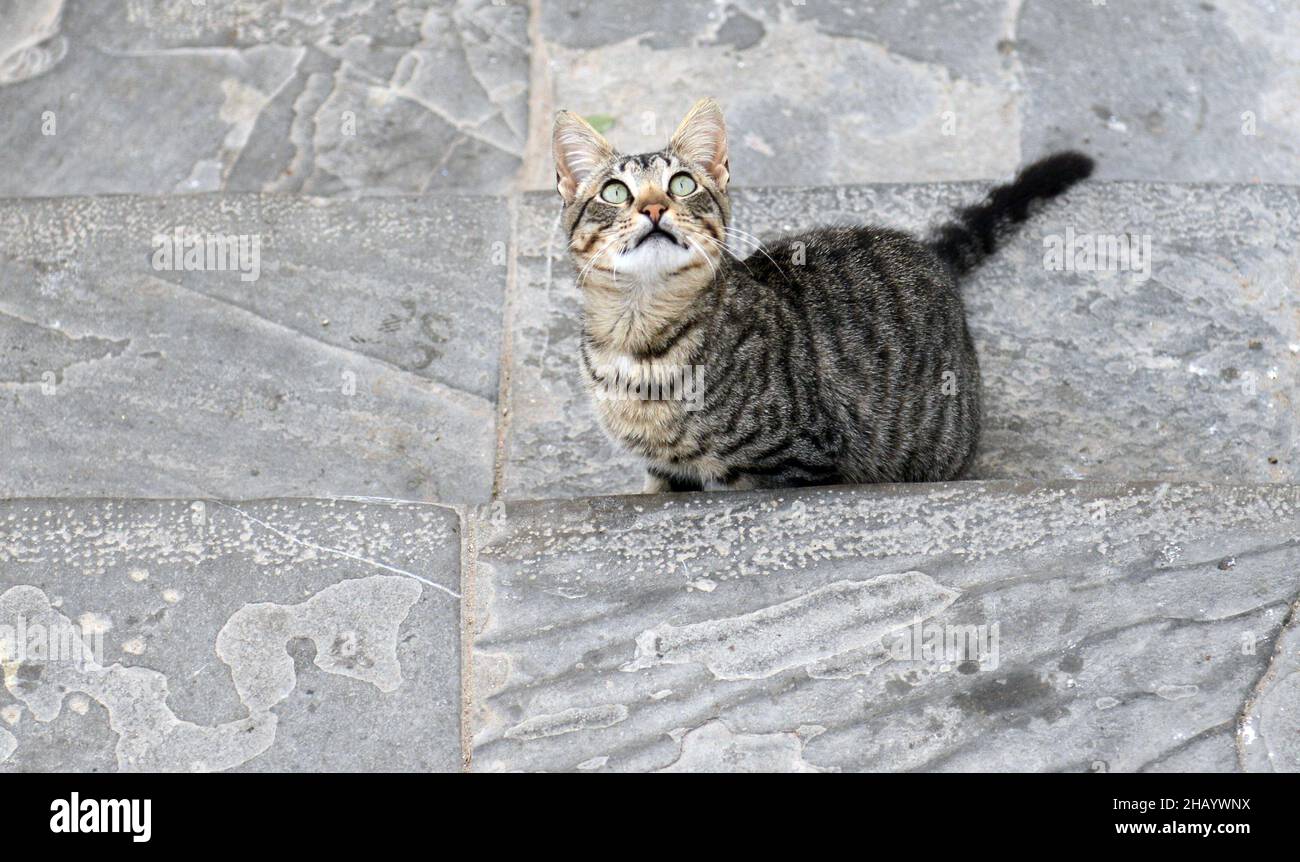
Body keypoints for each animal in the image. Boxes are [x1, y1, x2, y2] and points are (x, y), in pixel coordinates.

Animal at [553, 98, 1092, 491]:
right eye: (615, 192)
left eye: (682, 184)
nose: (654, 208)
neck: (638, 333)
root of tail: (928, 252)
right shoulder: (666, 468)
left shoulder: (797, 461)